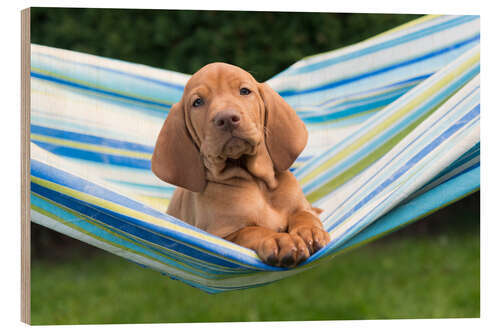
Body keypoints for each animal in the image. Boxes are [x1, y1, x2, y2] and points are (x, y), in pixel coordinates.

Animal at [152, 62, 332, 266]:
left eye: (244, 91)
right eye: (197, 102)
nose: (227, 118)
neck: (258, 184)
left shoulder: (301, 207)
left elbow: (305, 215)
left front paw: (310, 232)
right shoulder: (222, 235)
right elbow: (252, 231)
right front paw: (279, 240)